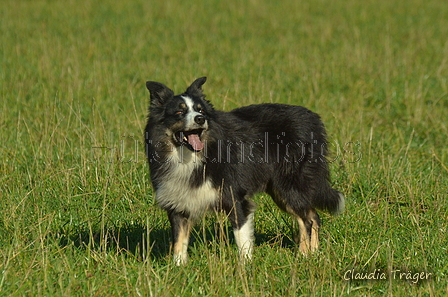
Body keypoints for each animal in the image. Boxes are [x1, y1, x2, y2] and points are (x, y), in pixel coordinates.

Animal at [145, 76, 344, 264]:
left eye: (200, 110)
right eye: (179, 112)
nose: (200, 119)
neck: (191, 157)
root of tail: (313, 118)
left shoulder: (235, 198)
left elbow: (242, 237)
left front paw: (245, 266)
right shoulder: (178, 201)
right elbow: (179, 240)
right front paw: (178, 267)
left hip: (289, 186)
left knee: (308, 219)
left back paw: (304, 255)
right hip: (280, 191)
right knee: (311, 216)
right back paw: (311, 254)